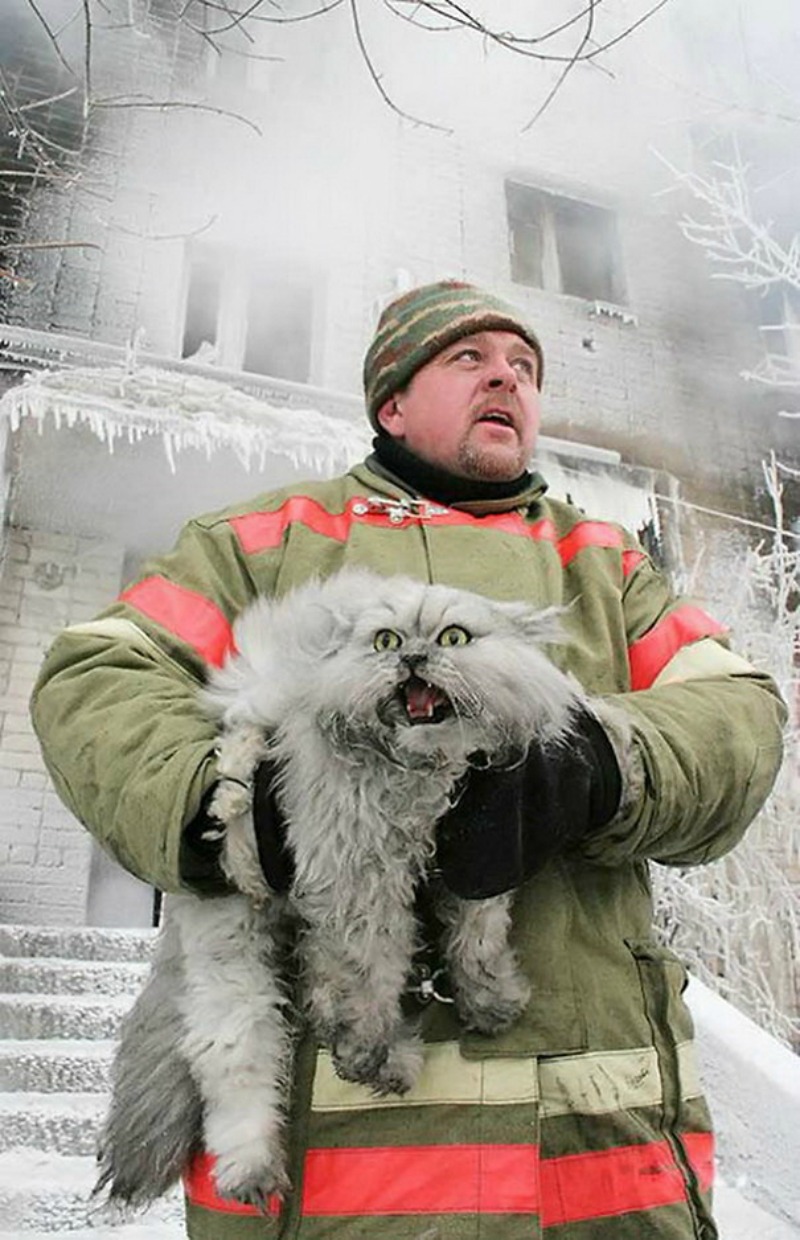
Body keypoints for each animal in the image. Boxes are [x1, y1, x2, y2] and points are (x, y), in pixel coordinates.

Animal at [96, 567, 585, 1210]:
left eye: (454, 638)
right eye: (385, 641)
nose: (412, 658)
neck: (420, 776)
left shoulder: (485, 852)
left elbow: (475, 940)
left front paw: (488, 1000)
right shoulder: (358, 875)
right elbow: (372, 975)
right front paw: (365, 1045)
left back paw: (385, 1058)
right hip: (235, 947)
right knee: (234, 1054)